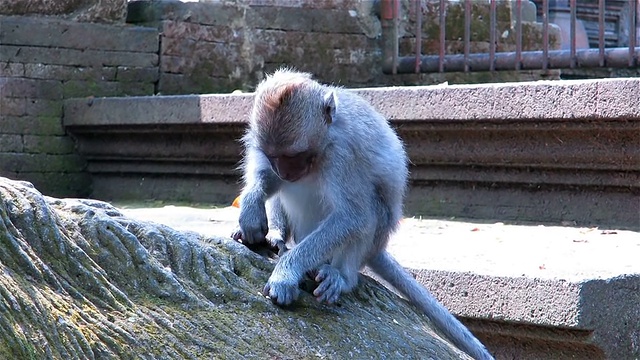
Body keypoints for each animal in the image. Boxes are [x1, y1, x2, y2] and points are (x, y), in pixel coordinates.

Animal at [231, 69, 496, 360]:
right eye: (274, 156)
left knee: (371, 210)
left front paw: (286, 274)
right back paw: (277, 236)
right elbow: (268, 178)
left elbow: (353, 216)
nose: (286, 171)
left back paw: (342, 277)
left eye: (295, 155)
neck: (325, 140)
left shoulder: (343, 154)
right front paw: (251, 209)